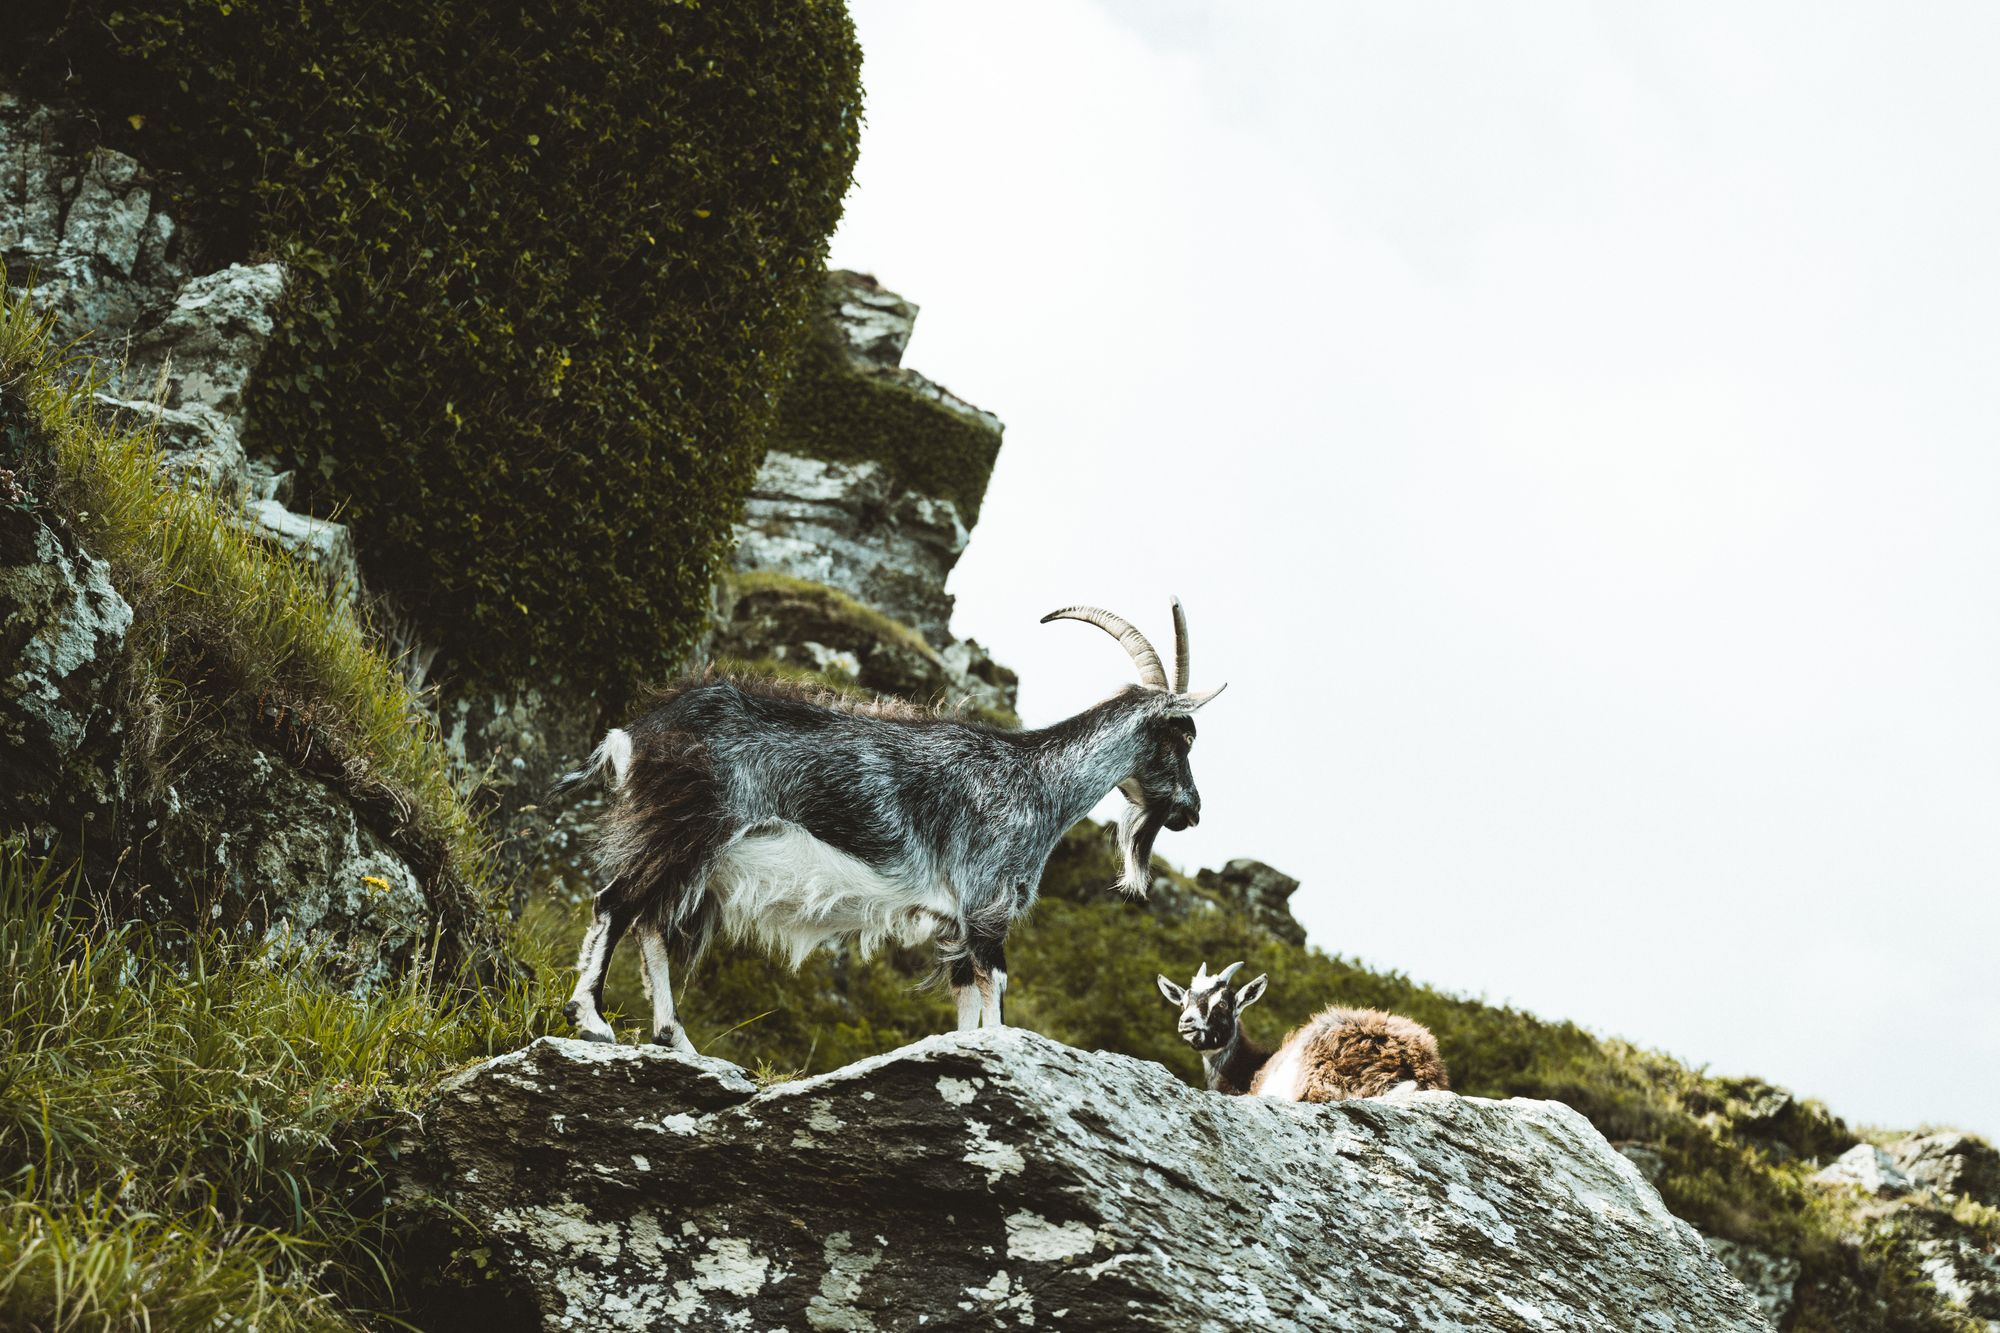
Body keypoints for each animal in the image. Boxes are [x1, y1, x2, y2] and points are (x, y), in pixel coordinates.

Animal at [556, 596, 1224, 1040]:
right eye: (1184, 736)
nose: (1191, 812)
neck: (1033, 778)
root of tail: (640, 732)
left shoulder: (957, 925)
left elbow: (966, 1003)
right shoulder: (985, 903)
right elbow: (997, 991)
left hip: (692, 857)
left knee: (650, 923)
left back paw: (674, 1037)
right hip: (683, 830)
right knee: (615, 903)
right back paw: (592, 1022)